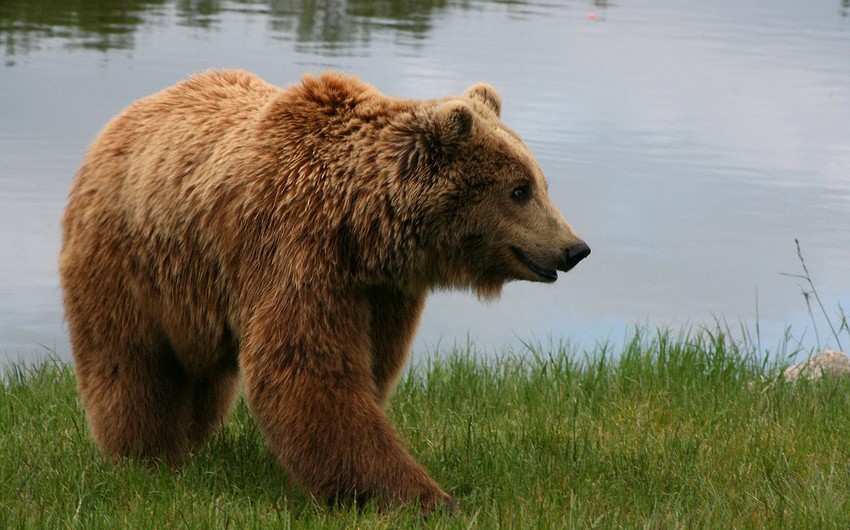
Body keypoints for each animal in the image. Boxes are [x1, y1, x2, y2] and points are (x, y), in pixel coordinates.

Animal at [58, 70, 588, 512]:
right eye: (519, 189)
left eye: (541, 183)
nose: (574, 248)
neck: (361, 227)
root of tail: (118, 122)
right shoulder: (296, 250)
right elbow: (309, 371)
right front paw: (424, 497)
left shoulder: (381, 293)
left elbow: (369, 368)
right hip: (130, 262)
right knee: (132, 362)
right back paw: (146, 456)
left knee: (202, 380)